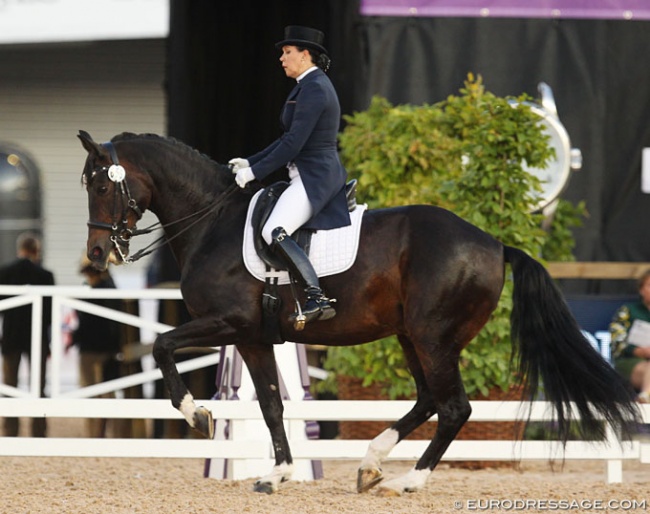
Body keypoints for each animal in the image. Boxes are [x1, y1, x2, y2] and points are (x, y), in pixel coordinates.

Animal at [77, 132, 636, 496]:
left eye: (102, 186)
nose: (98, 254)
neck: (214, 221)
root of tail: (495, 243)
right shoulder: (253, 338)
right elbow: (272, 405)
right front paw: (277, 473)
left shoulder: (227, 323)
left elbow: (162, 344)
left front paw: (197, 414)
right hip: (413, 336)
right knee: (429, 400)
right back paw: (370, 465)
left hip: (433, 337)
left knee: (454, 407)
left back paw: (411, 480)